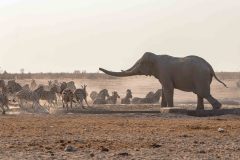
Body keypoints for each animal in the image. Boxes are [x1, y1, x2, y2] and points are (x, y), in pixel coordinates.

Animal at [99, 52, 227, 110]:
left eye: (140, 64)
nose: (99, 68)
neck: (156, 56)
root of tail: (210, 67)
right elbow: (164, 89)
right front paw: (163, 108)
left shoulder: (164, 71)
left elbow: (168, 88)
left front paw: (170, 108)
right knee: (200, 93)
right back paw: (199, 109)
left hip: (201, 76)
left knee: (203, 92)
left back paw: (217, 107)